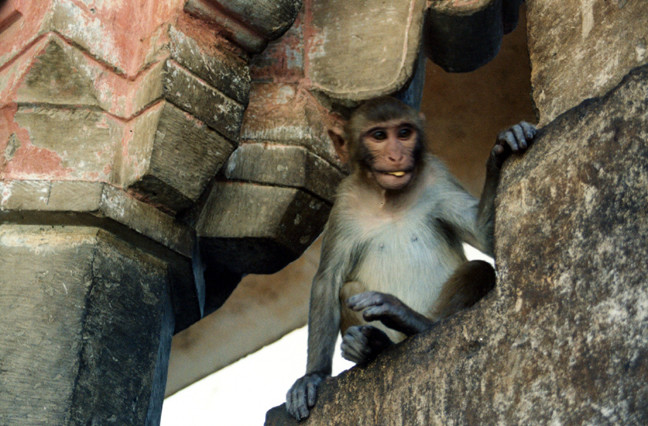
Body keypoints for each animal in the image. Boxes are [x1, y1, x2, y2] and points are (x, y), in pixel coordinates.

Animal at [285, 96, 536, 421]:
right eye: (379, 136)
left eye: (404, 133)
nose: (396, 156)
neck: (389, 200)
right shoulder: (344, 202)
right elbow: (328, 279)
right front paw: (313, 376)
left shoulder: (437, 175)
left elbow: (485, 240)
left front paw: (501, 150)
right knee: (348, 290)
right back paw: (370, 346)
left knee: (479, 269)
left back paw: (410, 320)